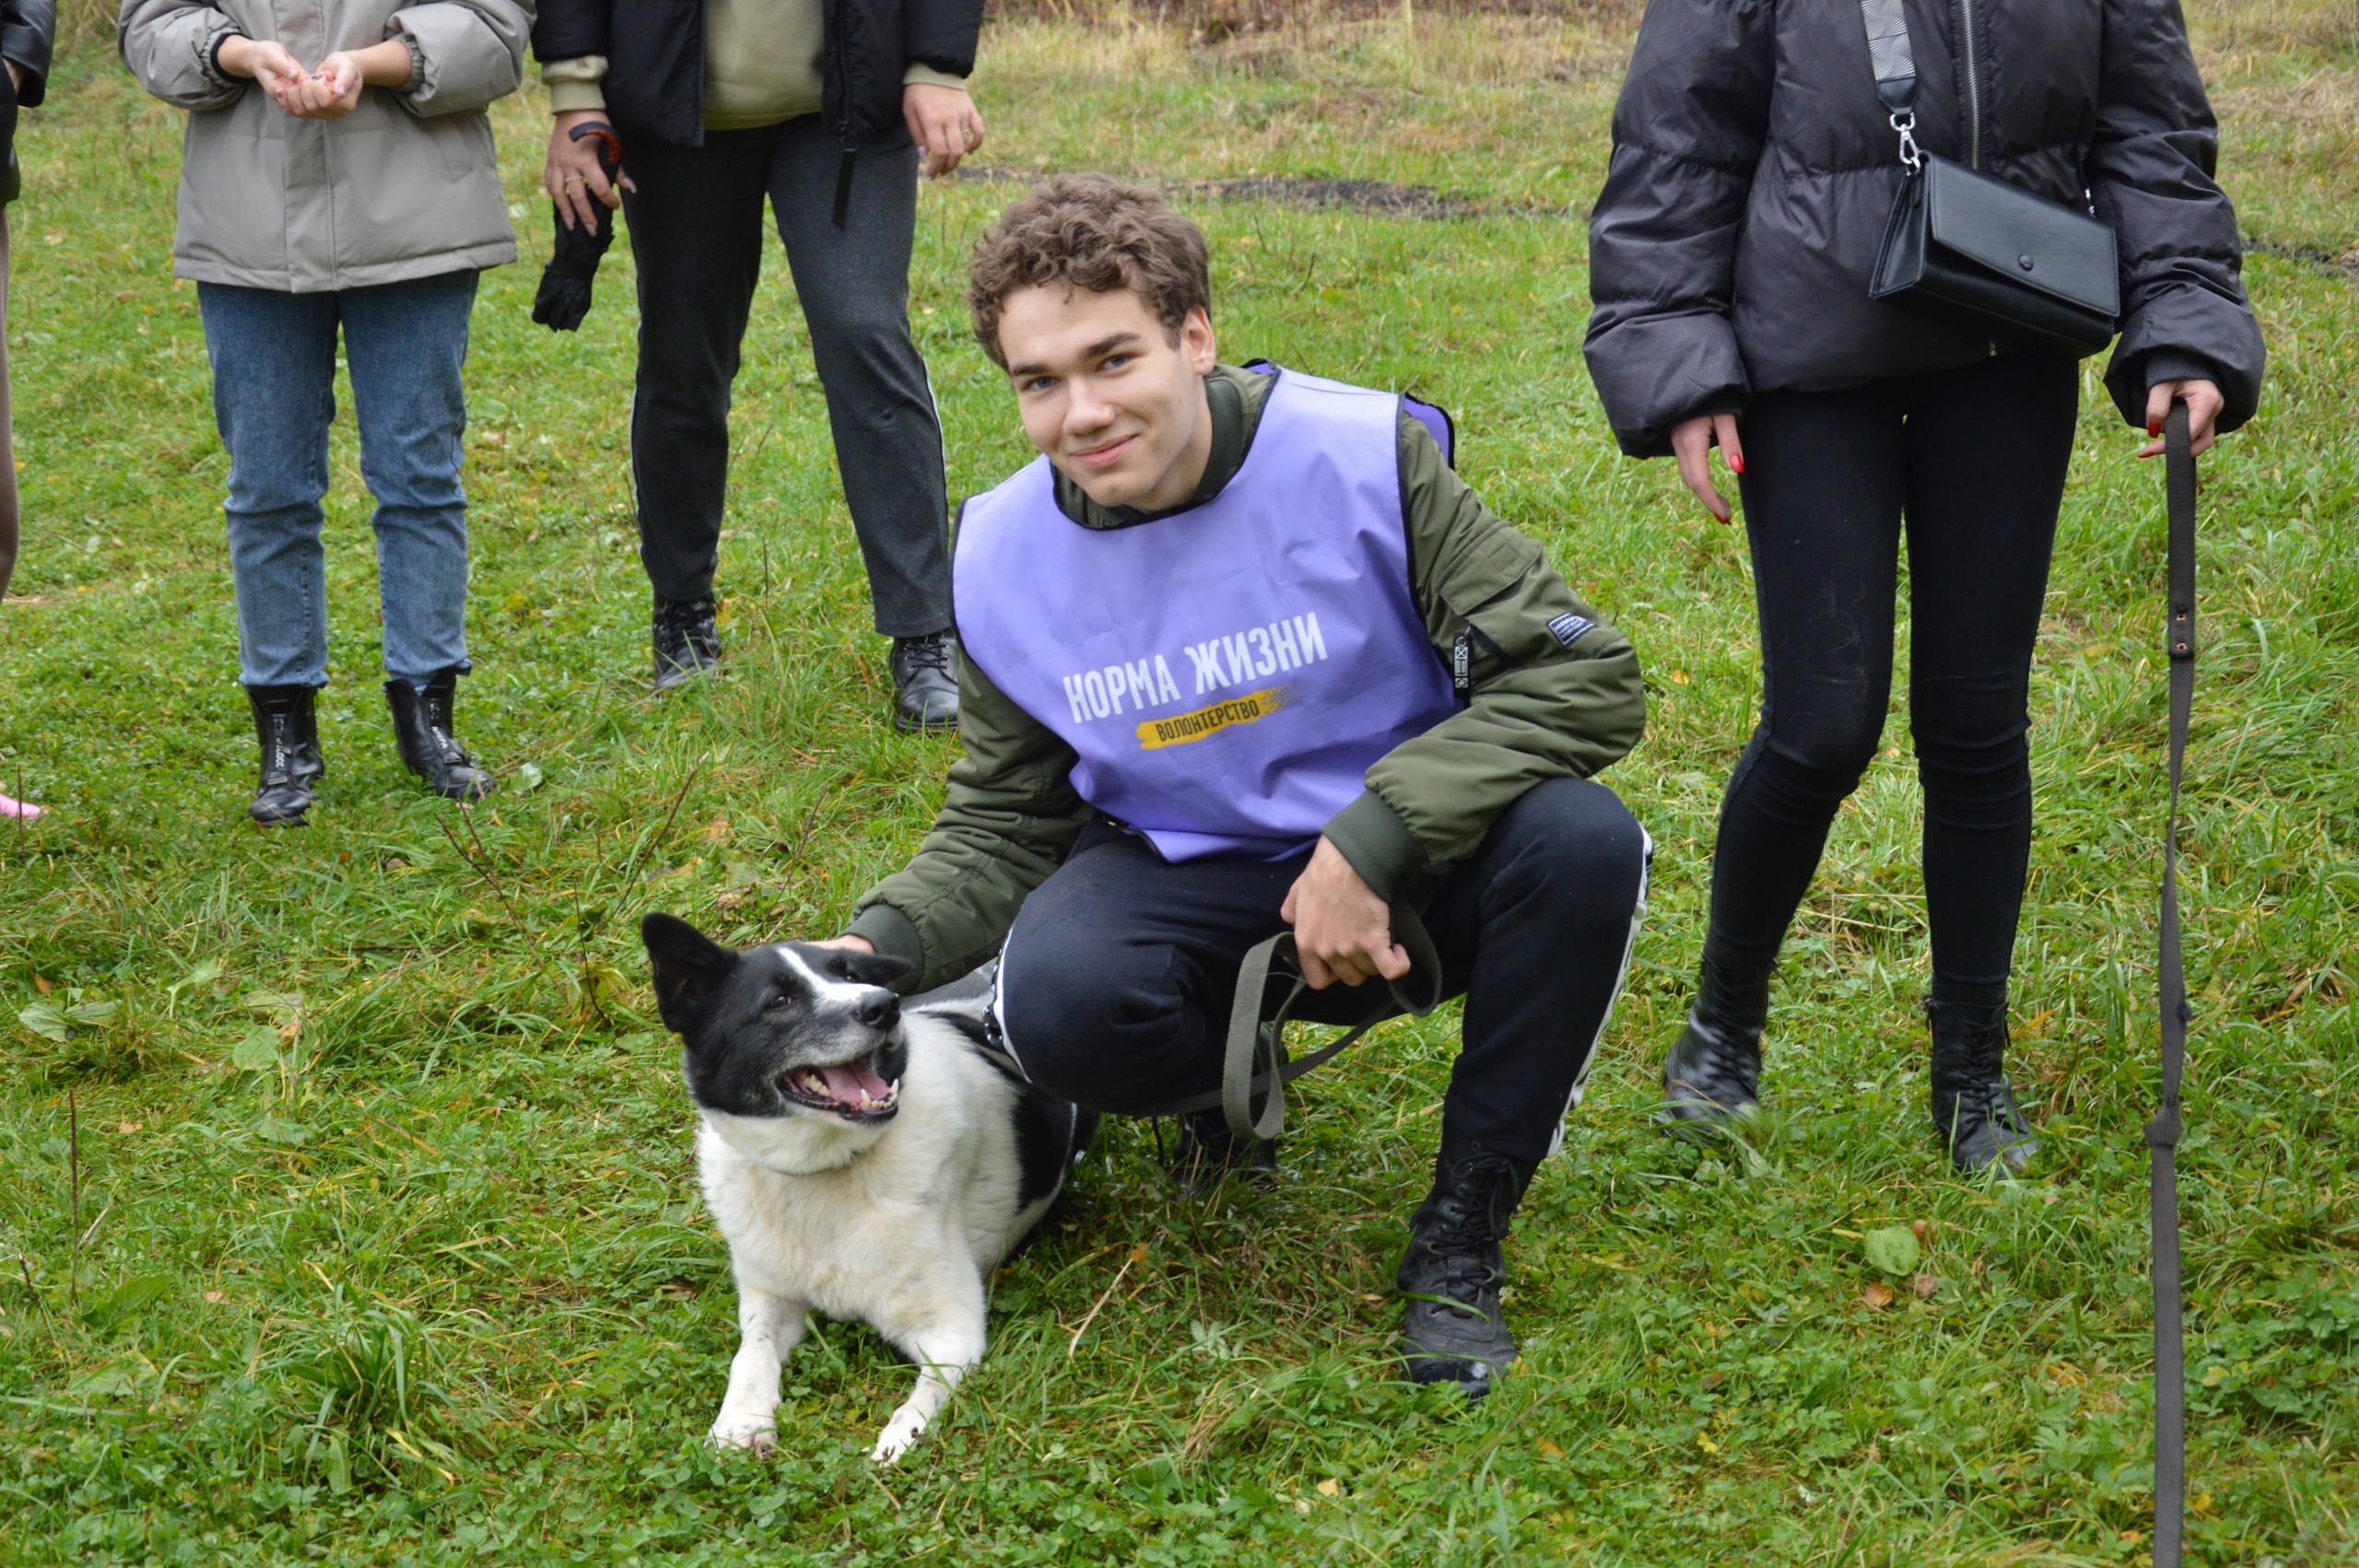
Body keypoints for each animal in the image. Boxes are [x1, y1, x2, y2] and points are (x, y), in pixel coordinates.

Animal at [637, 909, 1094, 1461]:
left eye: (851, 976)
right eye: (778, 1001)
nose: (884, 1006)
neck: (826, 1171)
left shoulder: (953, 1330)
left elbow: (927, 1390)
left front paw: (899, 1437)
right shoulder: (769, 1297)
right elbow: (751, 1354)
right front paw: (741, 1421)